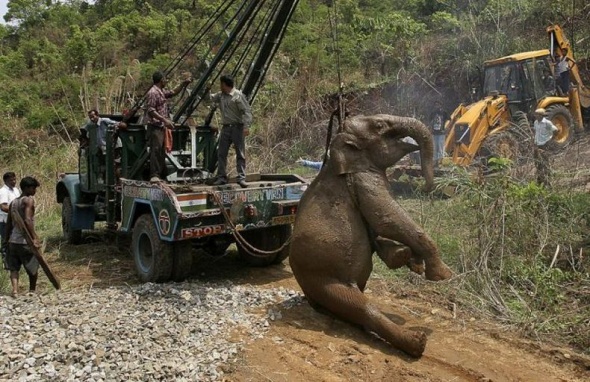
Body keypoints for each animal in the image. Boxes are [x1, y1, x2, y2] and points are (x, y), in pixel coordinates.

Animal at [290, 113, 454, 358]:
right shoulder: (364, 180)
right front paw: (442, 275)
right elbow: (386, 219)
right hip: (320, 279)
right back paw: (416, 343)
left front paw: (412, 262)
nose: (426, 188)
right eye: (379, 125)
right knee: (359, 306)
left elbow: (379, 231)